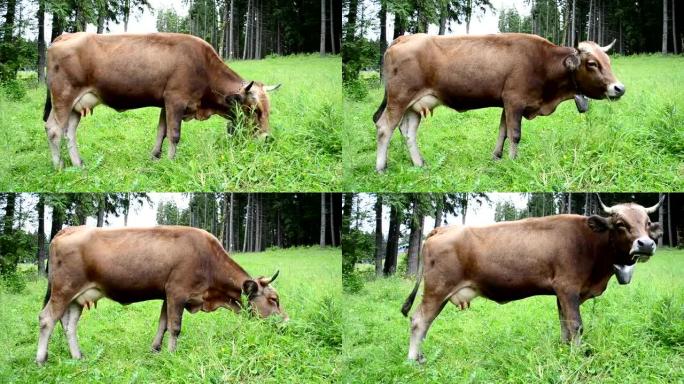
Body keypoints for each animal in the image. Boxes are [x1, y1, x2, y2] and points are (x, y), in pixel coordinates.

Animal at [35, 226, 286, 364]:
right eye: (273, 299)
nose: (286, 321)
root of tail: (68, 229)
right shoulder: (177, 291)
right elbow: (174, 327)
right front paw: (172, 353)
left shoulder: (168, 294)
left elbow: (163, 323)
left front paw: (155, 349)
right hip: (63, 290)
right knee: (47, 319)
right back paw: (41, 360)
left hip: (77, 297)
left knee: (68, 325)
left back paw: (78, 356)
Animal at [43, 33, 280, 170]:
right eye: (255, 110)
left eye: (269, 110)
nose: (267, 138)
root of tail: (64, 36)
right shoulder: (175, 99)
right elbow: (174, 134)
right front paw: (171, 161)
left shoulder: (166, 103)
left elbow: (161, 131)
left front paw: (155, 156)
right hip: (63, 97)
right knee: (54, 130)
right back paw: (59, 166)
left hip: (77, 104)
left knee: (69, 132)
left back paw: (78, 164)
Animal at [374, 33, 624, 171]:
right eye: (592, 63)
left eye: (607, 60)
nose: (619, 88)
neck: (543, 64)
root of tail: (405, 37)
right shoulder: (515, 100)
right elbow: (515, 134)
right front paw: (513, 161)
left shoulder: (506, 103)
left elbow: (502, 131)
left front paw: (497, 157)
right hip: (399, 98)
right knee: (384, 128)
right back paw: (381, 167)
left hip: (414, 105)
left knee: (408, 132)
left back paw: (419, 163)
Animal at [400, 198, 664, 364]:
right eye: (620, 224)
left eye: (647, 223)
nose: (646, 244)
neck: (591, 243)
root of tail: (442, 229)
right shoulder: (568, 288)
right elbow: (576, 325)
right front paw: (577, 356)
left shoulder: (562, 294)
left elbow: (564, 324)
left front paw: (564, 350)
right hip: (436, 290)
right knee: (419, 321)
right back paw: (413, 359)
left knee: (425, 322)